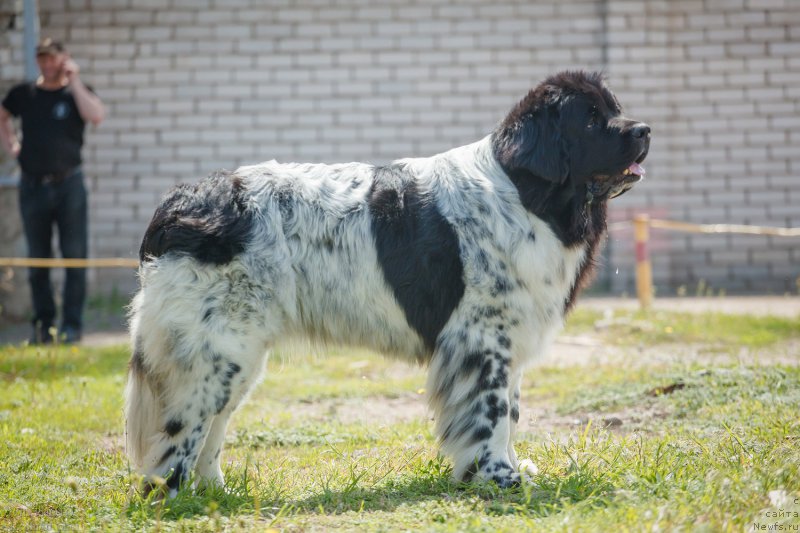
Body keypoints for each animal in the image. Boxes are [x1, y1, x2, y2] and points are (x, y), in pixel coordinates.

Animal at [125, 70, 648, 494]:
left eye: (615, 109)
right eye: (590, 120)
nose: (645, 130)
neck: (524, 193)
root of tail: (179, 202)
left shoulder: (508, 336)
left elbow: (512, 412)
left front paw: (509, 469)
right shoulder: (481, 340)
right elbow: (493, 414)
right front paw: (499, 478)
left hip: (238, 357)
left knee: (214, 426)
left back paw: (215, 492)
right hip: (213, 351)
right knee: (181, 429)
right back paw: (171, 496)